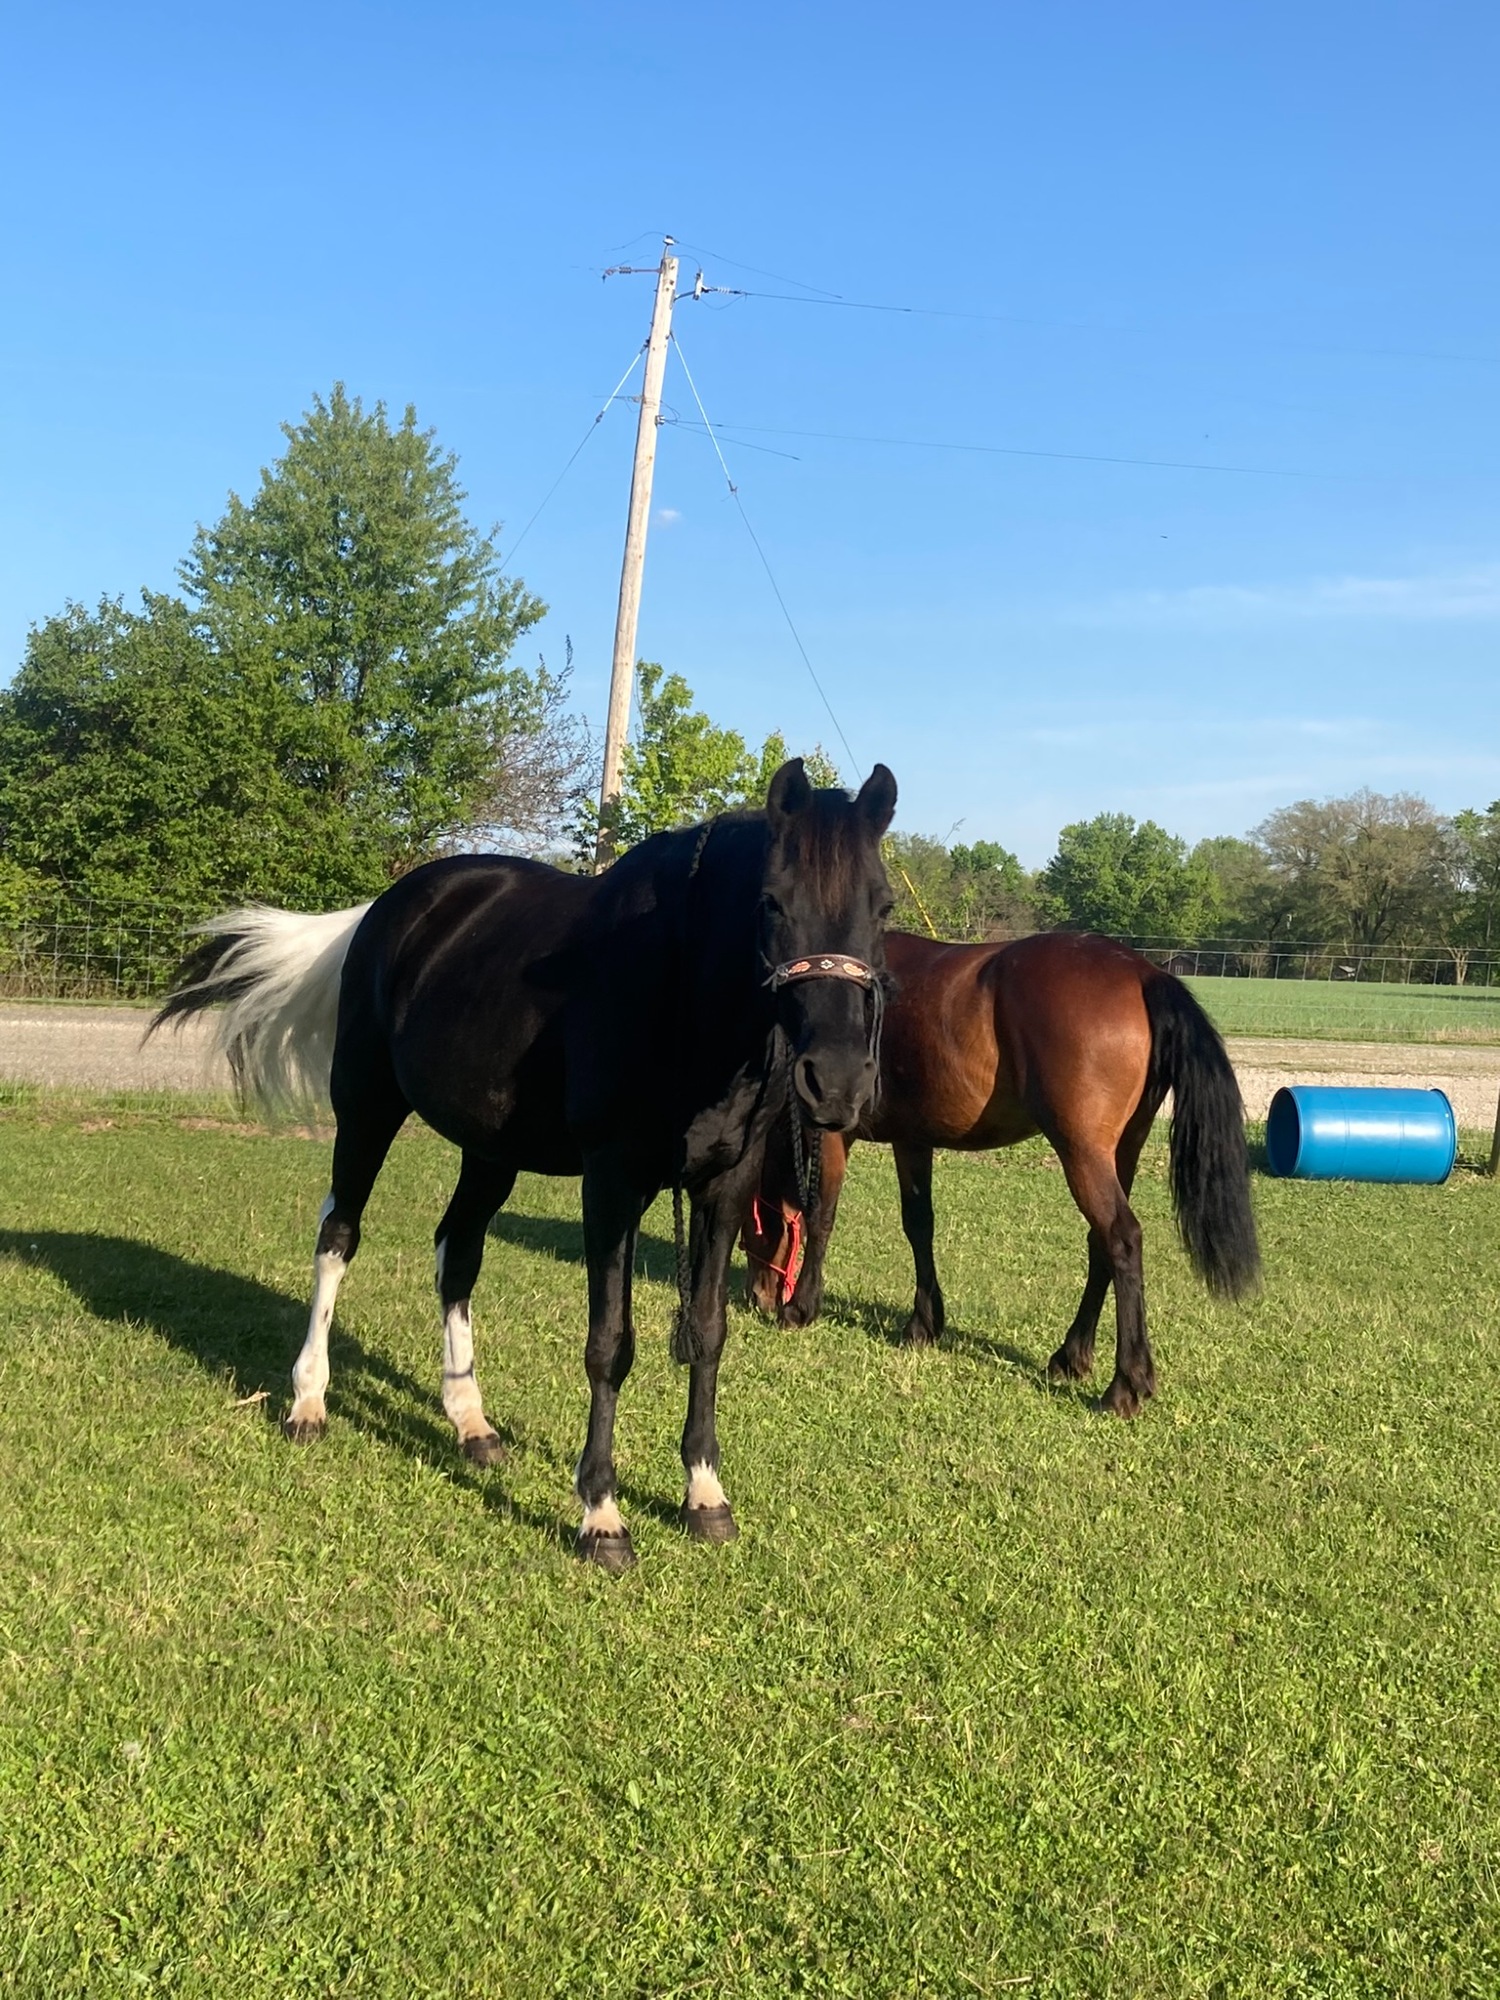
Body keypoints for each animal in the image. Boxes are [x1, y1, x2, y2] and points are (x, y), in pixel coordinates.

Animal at [154, 760, 898, 1569]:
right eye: (771, 902)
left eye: (884, 906)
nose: (839, 1083)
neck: (676, 990)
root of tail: (385, 910)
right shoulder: (612, 1183)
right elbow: (610, 1346)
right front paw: (601, 1515)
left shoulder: (724, 1184)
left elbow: (707, 1332)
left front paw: (705, 1495)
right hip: (367, 1109)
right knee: (338, 1237)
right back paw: (308, 1401)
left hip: (489, 1152)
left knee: (457, 1254)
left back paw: (470, 1423)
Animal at [740, 928, 1259, 1415]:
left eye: (752, 1225)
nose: (759, 1296)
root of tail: (1141, 971)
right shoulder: (912, 1138)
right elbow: (918, 1225)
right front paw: (924, 1323)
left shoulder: (834, 1134)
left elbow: (821, 1214)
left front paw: (802, 1307)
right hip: (1121, 1150)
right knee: (1101, 1246)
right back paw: (1071, 1356)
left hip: (1082, 1152)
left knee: (1122, 1238)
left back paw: (1125, 1385)